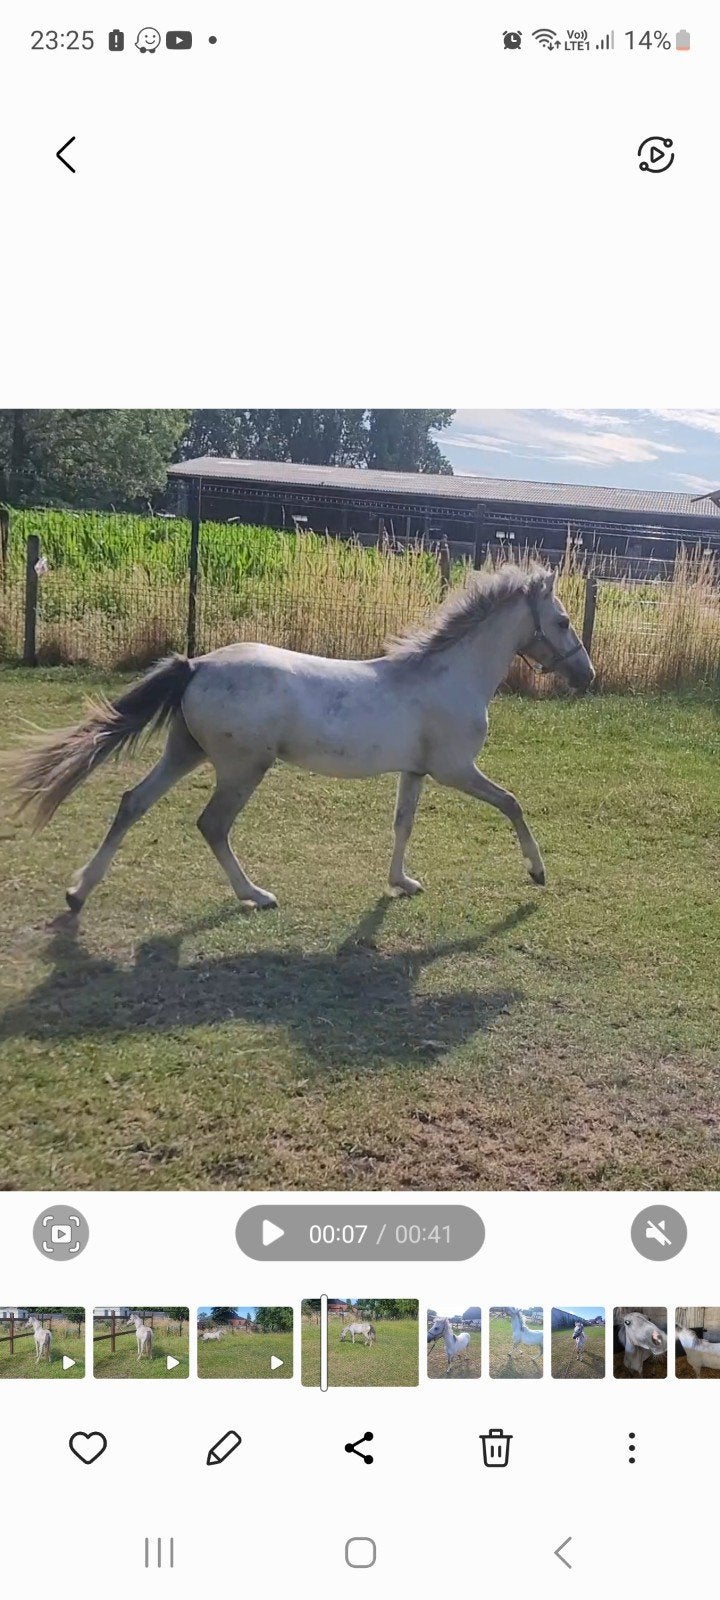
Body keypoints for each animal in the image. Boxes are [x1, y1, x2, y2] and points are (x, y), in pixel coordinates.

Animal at [2, 564, 594, 914]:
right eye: (563, 621)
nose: (586, 676)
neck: (448, 676)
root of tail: (197, 665)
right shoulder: (456, 770)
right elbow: (512, 803)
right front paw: (537, 873)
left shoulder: (416, 771)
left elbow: (402, 824)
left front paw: (401, 883)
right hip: (242, 767)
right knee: (211, 824)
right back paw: (255, 895)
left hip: (185, 752)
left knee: (132, 803)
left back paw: (78, 892)